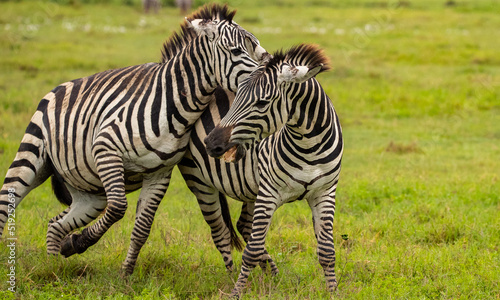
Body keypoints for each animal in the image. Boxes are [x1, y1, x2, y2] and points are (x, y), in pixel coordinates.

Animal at [0, 4, 268, 276]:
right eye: (236, 51)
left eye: (258, 49)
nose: (265, 77)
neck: (175, 105)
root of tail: (59, 87)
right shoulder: (106, 149)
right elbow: (119, 207)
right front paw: (80, 242)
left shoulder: (160, 173)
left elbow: (142, 228)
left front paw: (124, 273)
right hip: (32, 155)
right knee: (7, 203)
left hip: (91, 193)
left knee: (56, 224)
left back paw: (53, 266)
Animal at [204, 44, 344, 296]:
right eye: (236, 95)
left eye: (261, 103)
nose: (210, 143)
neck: (310, 145)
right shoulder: (269, 192)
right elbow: (251, 251)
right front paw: (236, 293)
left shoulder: (325, 192)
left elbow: (327, 251)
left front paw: (333, 293)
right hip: (200, 183)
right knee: (221, 233)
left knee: (243, 226)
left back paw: (273, 275)